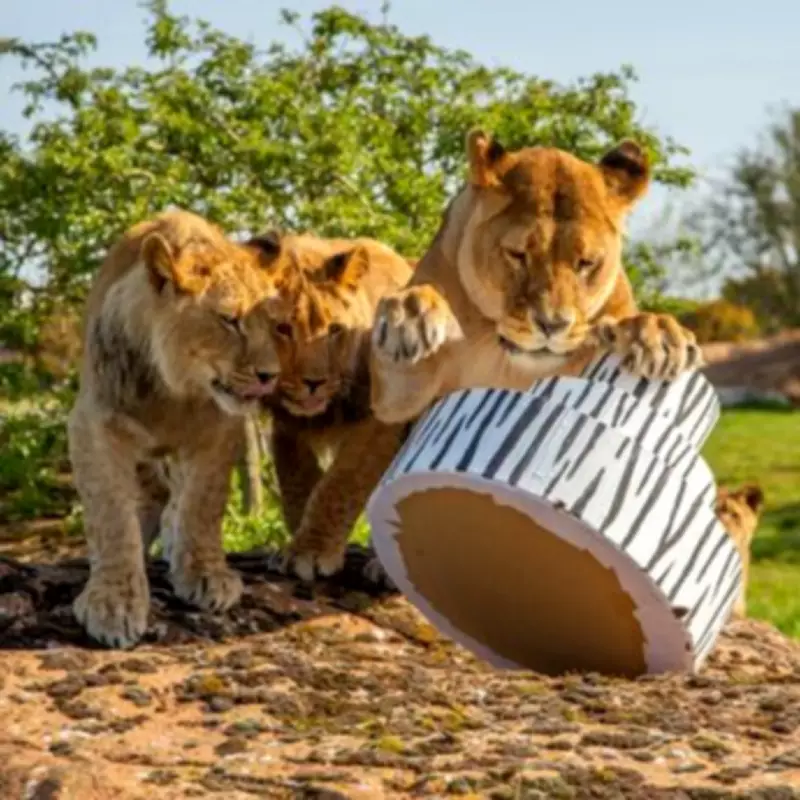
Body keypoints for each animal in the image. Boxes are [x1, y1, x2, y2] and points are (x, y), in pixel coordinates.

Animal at [68, 209, 287, 648]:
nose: (270, 376)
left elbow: (203, 505)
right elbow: (110, 515)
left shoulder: (219, 429)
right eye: (230, 321)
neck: (172, 390)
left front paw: (206, 575)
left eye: (275, 325)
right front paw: (114, 603)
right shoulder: (94, 425)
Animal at [260, 235, 414, 580]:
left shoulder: (382, 424)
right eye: (283, 328)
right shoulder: (287, 426)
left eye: (334, 329)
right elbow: (296, 482)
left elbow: (339, 484)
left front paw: (310, 552)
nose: (314, 382)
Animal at [369, 130, 704, 423]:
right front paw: (410, 316)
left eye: (585, 263)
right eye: (518, 255)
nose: (551, 325)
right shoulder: (398, 396)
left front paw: (657, 335)